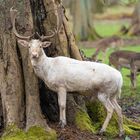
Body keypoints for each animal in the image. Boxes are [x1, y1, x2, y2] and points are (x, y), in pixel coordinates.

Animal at [10, 7, 124, 137]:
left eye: (40, 46)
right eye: (29, 46)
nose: (34, 55)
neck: (48, 70)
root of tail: (120, 78)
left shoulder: (62, 85)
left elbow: (62, 104)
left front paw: (63, 123)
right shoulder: (57, 88)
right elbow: (59, 103)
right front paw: (61, 121)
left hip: (104, 91)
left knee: (110, 109)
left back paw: (102, 130)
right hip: (112, 94)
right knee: (119, 109)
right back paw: (121, 132)